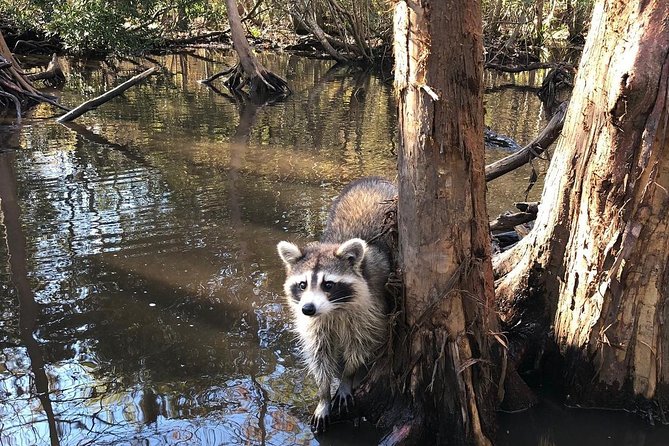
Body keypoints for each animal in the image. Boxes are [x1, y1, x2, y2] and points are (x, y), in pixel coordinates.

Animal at [276, 177, 396, 432]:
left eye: (328, 285)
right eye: (302, 285)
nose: (308, 309)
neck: (333, 310)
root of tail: (372, 179)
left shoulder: (371, 308)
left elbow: (362, 344)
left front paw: (348, 377)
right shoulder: (314, 324)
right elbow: (318, 353)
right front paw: (323, 394)